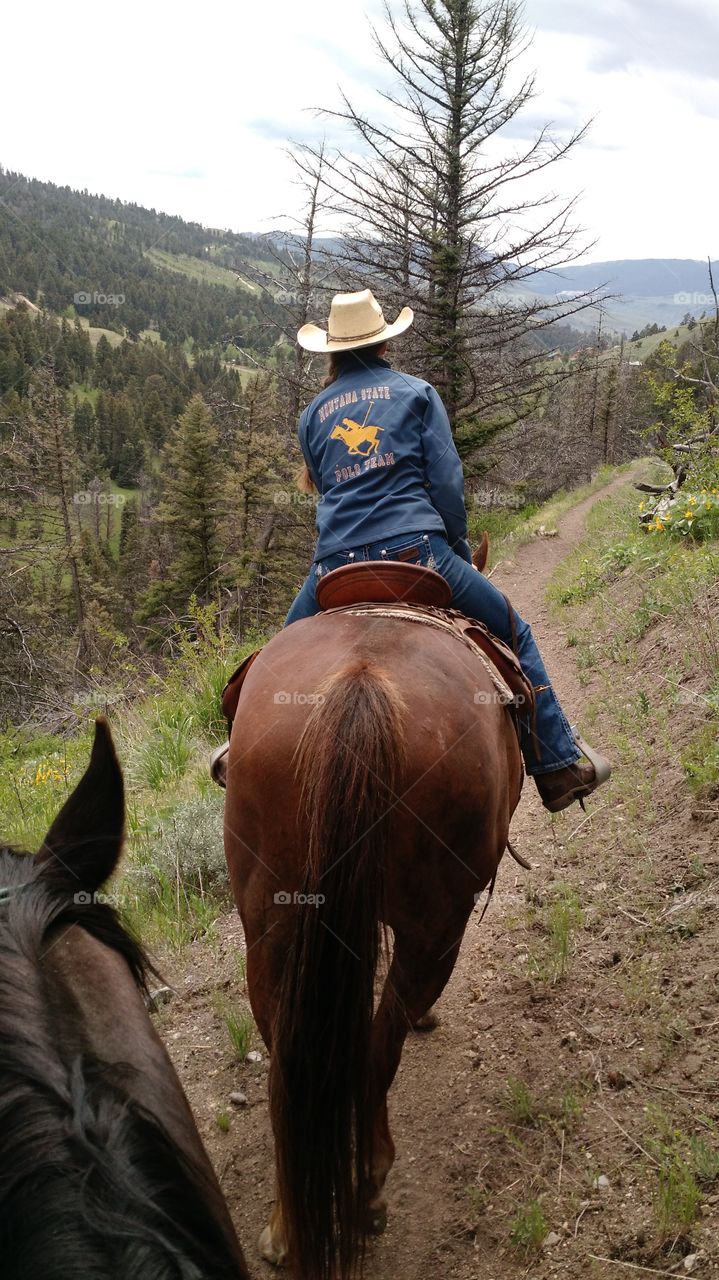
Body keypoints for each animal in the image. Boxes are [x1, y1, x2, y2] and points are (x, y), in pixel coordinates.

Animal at [223, 601, 519, 1280]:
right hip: (437, 923)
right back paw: (368, 1185)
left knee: (291, 1066)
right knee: (383, 1041)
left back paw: (286, 1230)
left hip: (270, 925)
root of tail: (358, 687)